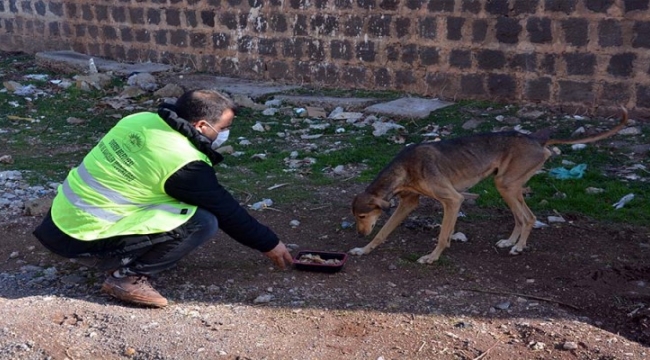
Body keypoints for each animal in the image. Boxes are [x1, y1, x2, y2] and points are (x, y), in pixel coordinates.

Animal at [350, 108, 628, 262]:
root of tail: (535, 138)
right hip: (506, 186)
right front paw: (364, 249)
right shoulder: (408, 203)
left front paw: (432, 257)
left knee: (528, 217)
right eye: (355, 217)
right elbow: (384, 232)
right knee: (520, 217)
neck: (404, 169)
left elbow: (442, 235)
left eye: (362, 216)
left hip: (506, 184)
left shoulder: (453, 200)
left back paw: (518, 247)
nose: (359, 234)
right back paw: (510, 242)